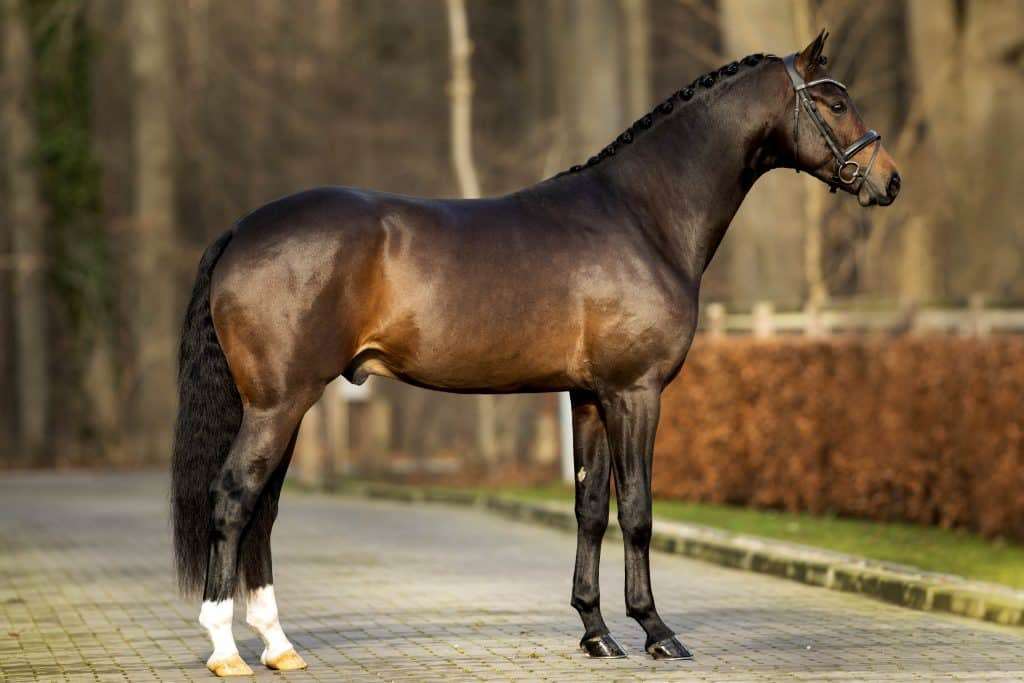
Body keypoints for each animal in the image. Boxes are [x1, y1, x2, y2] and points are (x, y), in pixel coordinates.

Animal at [171, 30, 900, 676]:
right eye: (834, 102)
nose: (889, 182)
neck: (642, 217)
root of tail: (242, 229)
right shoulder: (635, 392)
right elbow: (638, 511)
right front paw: (657, 632)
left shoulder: (590, 396)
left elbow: (591, 508)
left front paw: (597, 632)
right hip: (279, 403)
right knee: (234, 499)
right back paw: (227, 649)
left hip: (287, 405)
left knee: (263, 510)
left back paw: (278, 645)